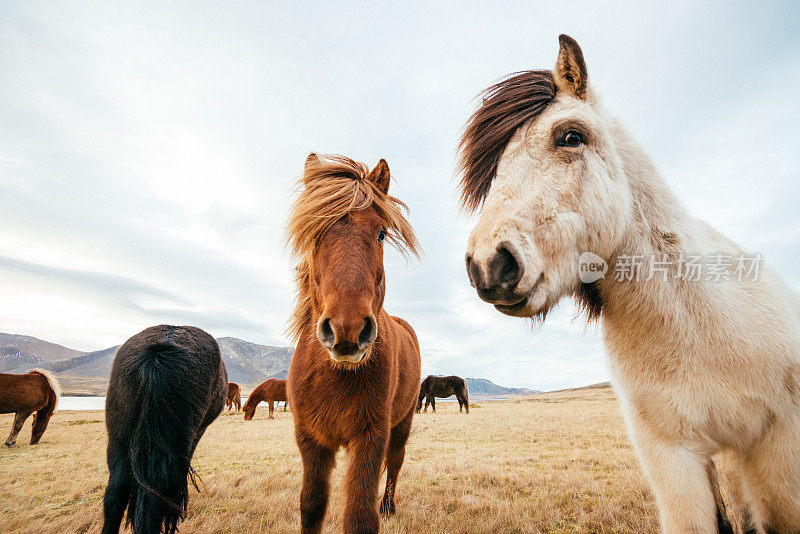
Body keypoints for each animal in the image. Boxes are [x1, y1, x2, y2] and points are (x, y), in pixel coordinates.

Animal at [284, 155, 422, 534]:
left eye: (381, 233)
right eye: (315, 234)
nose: (348, 330)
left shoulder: (372, 437)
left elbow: (360, 515)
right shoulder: (310, 440)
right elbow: (311, 506)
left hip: (401, 425)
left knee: (395, 465)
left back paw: (388, 506)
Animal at [460, 34, 800, 534]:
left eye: (571, 136)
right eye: (494, 169)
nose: (488, 264)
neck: (698, 328)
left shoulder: (778, 454)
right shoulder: (672, 460)